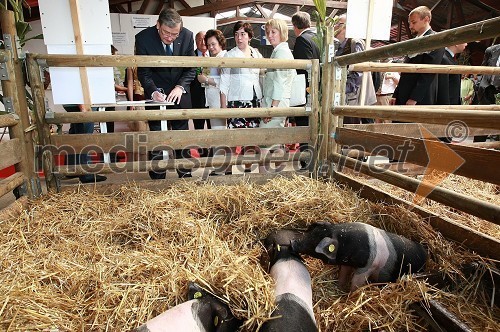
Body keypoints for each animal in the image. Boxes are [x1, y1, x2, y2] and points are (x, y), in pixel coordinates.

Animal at [292, 222, 428, 292]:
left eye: (314, 241)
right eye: (311, 233)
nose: (293, 242)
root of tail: (425, 254)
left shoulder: (367, 267)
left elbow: (356, 283)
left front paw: (350, 296)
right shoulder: (346, 263)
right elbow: (343, 275)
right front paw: (340, 288)